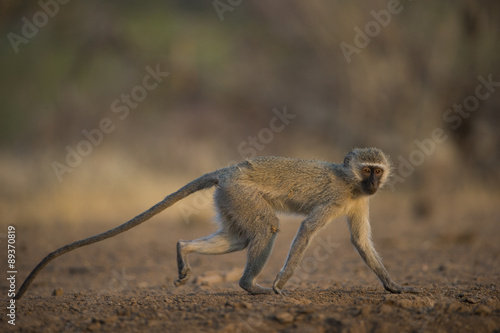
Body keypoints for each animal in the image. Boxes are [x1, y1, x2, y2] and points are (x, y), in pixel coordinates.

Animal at [14, 147, 418, 298]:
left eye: (378, 171)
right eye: (368, 169)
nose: (375, 183)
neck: (352, 184)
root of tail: (228, 170)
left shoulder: (360, 201)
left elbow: (361, 243)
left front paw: (393, 286)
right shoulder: (337, 198)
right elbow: (306, 231)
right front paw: (280, 283)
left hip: (228, 199)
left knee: (240, 239)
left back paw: (184, 250)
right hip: (241, 194)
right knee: (266, 229)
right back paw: (249, 285)